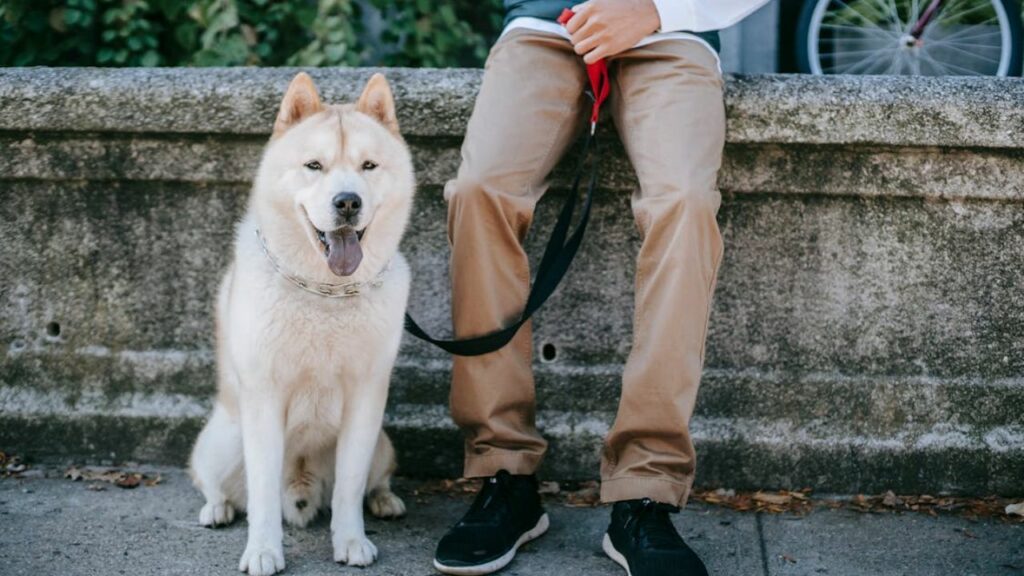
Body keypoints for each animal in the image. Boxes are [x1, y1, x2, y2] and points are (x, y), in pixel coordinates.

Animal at [190, 71, 413, 573]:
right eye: (314, 165)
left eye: (369, 166)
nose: (347, 202)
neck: (325, 293)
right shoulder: (264, 399)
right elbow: (263, 494)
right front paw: (263, 550)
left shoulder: (365, 400)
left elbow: (350, 485)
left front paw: (351, 540)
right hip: (222, 442)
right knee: (215, 483)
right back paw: (216, 508)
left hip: (383, 442)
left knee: (376, 478)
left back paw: (385, 501)